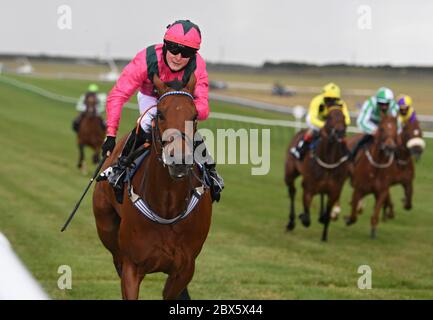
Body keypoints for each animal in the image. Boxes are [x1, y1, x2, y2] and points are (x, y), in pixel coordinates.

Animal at [91, 75, 213, 300]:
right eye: (161, 114)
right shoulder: (132, 266)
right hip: (106, 226)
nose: (179, 159)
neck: (167, 206)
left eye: (194, 116)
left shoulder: (184, 269)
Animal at [284, 107, 352, 240]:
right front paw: (302, 216)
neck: (328, 160)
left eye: (344, 117)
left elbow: (327, 215)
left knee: (321, 195)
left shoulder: (334, 190)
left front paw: (324, 236)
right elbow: (306, 218)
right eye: (329, 117)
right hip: (289, 173)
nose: (340, 132)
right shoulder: (308, 188)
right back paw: (291, 222)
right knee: (292, 192)